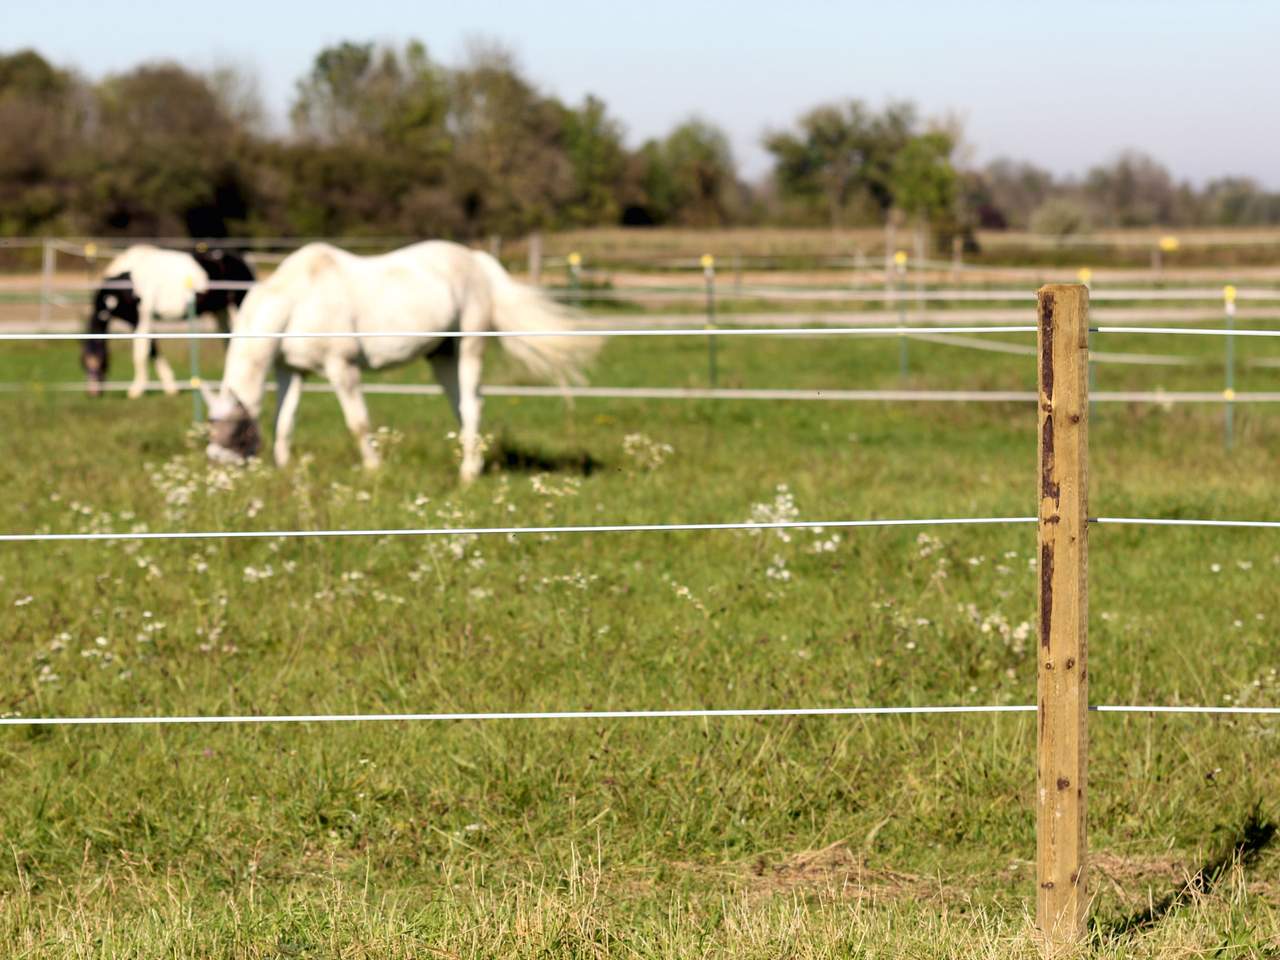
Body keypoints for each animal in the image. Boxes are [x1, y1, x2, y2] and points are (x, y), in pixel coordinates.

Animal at [81, 245, 255, 398]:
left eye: (98, 361)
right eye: (83, 363)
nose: (92, 393)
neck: (126, 281)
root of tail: (244, 261)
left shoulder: (144, 317)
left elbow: (140, 353)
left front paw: (136, 390)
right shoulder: (136, 321)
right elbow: (153, 350)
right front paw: (171, 387)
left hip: (238, 308)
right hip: (221, 312)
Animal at [201, 240, 598, 482]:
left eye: (233, 430)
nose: (218, 469)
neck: (299, 297)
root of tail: (478, 261)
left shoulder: (342, 368)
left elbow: (358, 423)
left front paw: (373, 469)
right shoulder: (291, 371)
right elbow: (284, 421)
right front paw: (284, 468)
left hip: (468, 347)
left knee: (472, 405)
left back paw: (468, 473)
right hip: (442, 355)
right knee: (461, 407)